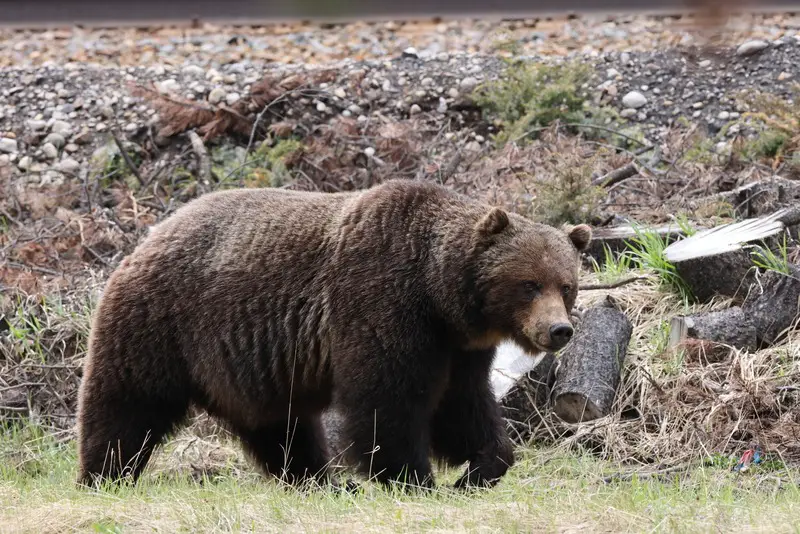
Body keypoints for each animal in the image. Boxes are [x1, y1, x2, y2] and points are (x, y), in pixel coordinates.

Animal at [75, 178, 591, 491]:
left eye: (566, 285)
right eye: (529, 284)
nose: (559, 330)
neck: (440, 294)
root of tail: (149, 235)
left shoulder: (457, 347)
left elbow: (461, 406)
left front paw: (480, 468)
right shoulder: (382, 302)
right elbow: (387, 401)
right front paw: (412, 478)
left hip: (251, 366)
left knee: (282, 429)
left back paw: (319, 480)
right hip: (162, 324)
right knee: (127, 404)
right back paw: (103, 475)